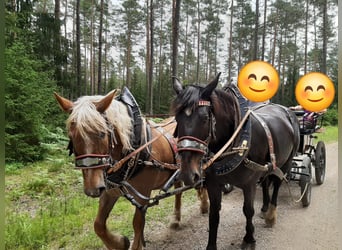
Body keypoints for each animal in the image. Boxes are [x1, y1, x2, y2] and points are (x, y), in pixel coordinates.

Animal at [54, 88, 208, 250]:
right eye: (71, 136)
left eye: (102, 133)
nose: (92, 189)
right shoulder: (109, 191)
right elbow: (98, 225)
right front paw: (120, 242)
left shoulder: (143, 193)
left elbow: (137, 224)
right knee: (178, 190)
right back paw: (176, 219)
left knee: (202, 182)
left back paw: (204, 204)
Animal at [171, 73, 300, 249]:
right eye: (177, 118)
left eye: (205, 118)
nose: (187, 174)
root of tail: (286, 111)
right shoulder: (213, 183)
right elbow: (214, 215)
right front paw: (211, 245)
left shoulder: (249, 183)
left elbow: (248, 210)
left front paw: (249, 238)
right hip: (267, 166)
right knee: (266, 181)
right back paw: (265, 207)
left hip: (285, 163)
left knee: (277, 183)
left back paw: (271, 215)